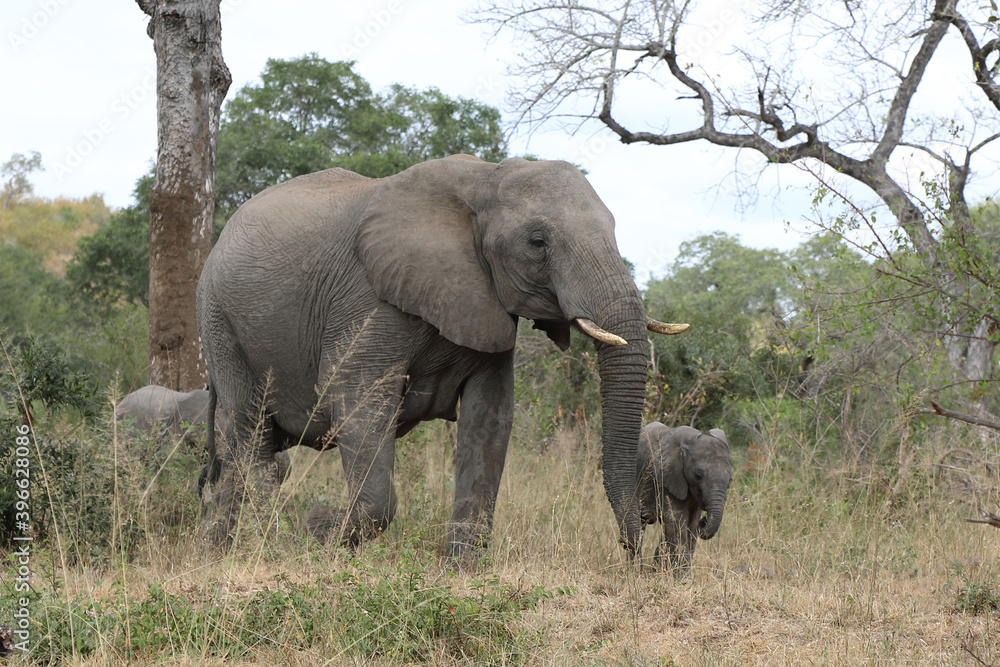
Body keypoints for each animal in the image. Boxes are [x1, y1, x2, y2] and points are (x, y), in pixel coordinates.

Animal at [196, 155, 688, 564]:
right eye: (537, 242)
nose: (636, 546)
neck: (484, 179)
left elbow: (490, 417)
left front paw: (463, 571)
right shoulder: (368, 302)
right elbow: (358, 400)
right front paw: (319, 529)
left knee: (246, 454)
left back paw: (217, 553)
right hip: (220, 324)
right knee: (251, 434)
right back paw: (269, 548)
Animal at [636, 422, 732, 574]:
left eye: (730, 480)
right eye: (698, 476)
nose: (704, 521)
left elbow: (691, 524)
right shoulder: (666, 477)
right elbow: (677, 520)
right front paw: (683, 576)